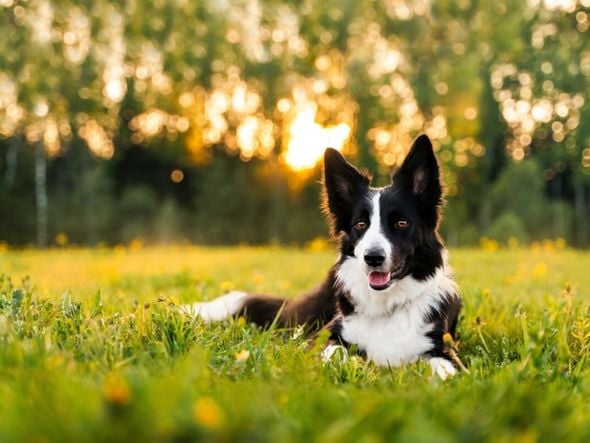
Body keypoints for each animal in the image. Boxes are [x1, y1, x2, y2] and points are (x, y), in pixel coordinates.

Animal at [184, 134, 462, 380]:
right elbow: (334, 351)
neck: (387, 304)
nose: (372, 257)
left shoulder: (442, 348)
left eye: (402, 223)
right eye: (360, 224)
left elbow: (444, 369)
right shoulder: (327, 334)